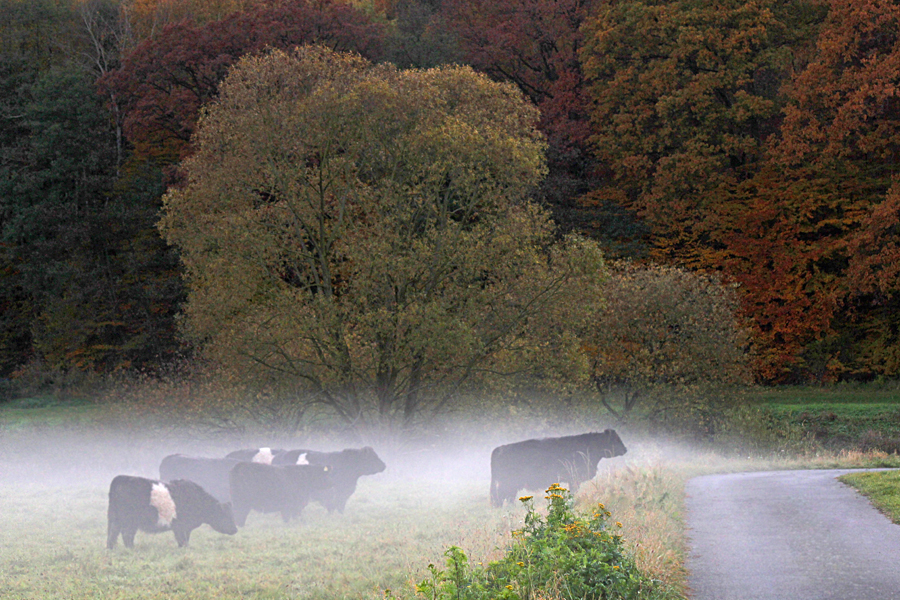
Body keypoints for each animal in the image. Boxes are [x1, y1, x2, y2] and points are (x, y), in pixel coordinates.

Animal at [105, 474, 237, 548]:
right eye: (225, 515)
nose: (235, 529)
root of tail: (122, 478)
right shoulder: (180, 526)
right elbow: (182, 539)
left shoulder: (184, 528)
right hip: (129, 521)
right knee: (126, 535)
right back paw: (131, 548)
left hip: (116, 520)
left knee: (113, 534)